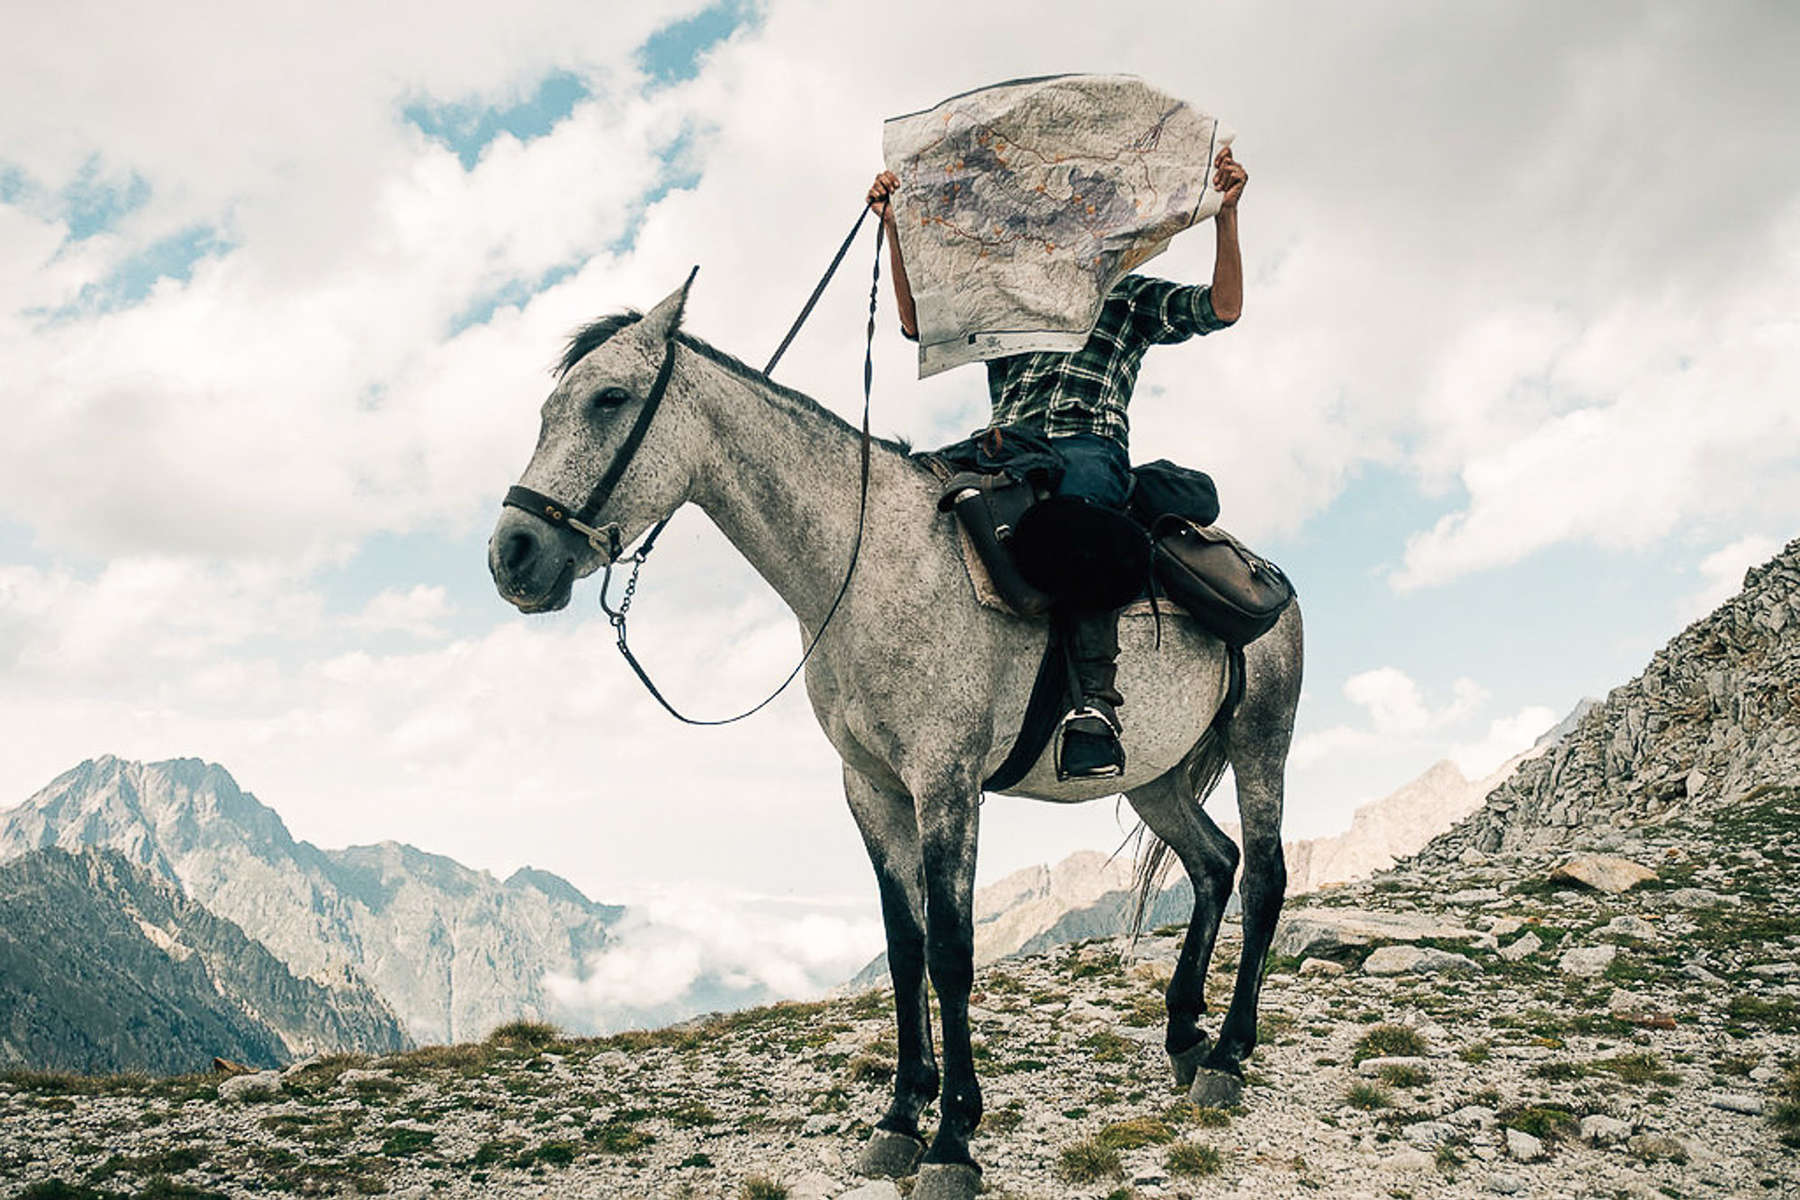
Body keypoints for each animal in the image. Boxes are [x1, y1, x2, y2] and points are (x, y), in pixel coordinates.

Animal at [486, 275, 1303, 1200]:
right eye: (549, 409)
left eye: (609, 399)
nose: (514, 553)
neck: (867, 567)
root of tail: (1262, 571)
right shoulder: (871, 788)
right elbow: (903, 946)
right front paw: (902, 1117)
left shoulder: (944, 782)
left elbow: (950, 950)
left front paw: (952, 1140)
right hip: (1154, 779)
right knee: (1213, 865)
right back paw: (1183, 1036)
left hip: (1261, 742)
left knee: (1263, 877)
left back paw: (1228, 1054)